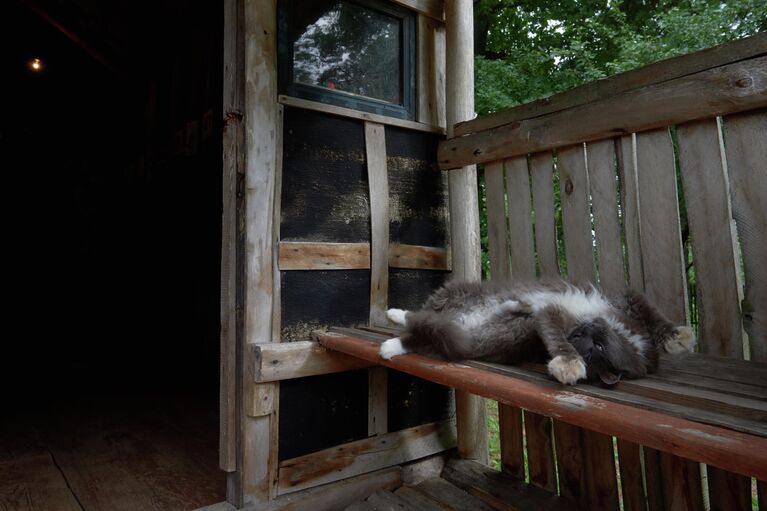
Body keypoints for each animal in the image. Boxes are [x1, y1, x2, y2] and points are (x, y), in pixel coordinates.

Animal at [380, 282, 700, 386]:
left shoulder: (550, 315)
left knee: (422, 335)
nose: (588, 328)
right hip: (451, 294)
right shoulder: (628, 299)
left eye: (596, 347)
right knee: (418, 314)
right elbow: (655, 316)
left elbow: (556, 340)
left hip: (475, 336)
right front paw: (680, 337)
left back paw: (390, 346)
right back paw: (394, 313)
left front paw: (567, 365)